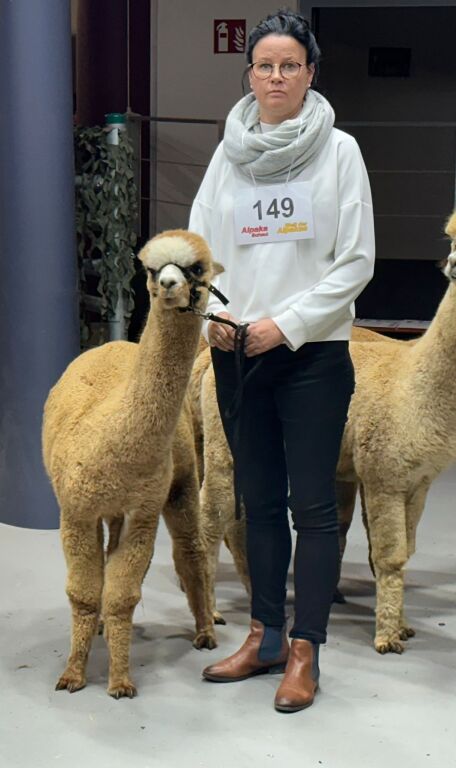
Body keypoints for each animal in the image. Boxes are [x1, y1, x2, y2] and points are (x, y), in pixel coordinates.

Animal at [42, 229, 220, 698]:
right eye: (152, 269)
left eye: (196, 267)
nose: (170, 285)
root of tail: (116, 343)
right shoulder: (77, 511)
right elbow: (84, 593)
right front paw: (73, 673)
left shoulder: (144, 511)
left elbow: (123, 594)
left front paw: (120, 680)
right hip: (112, 508)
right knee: (110, 557)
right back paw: (102, 628)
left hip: (180, 482)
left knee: (192, 549)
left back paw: (206, 630)